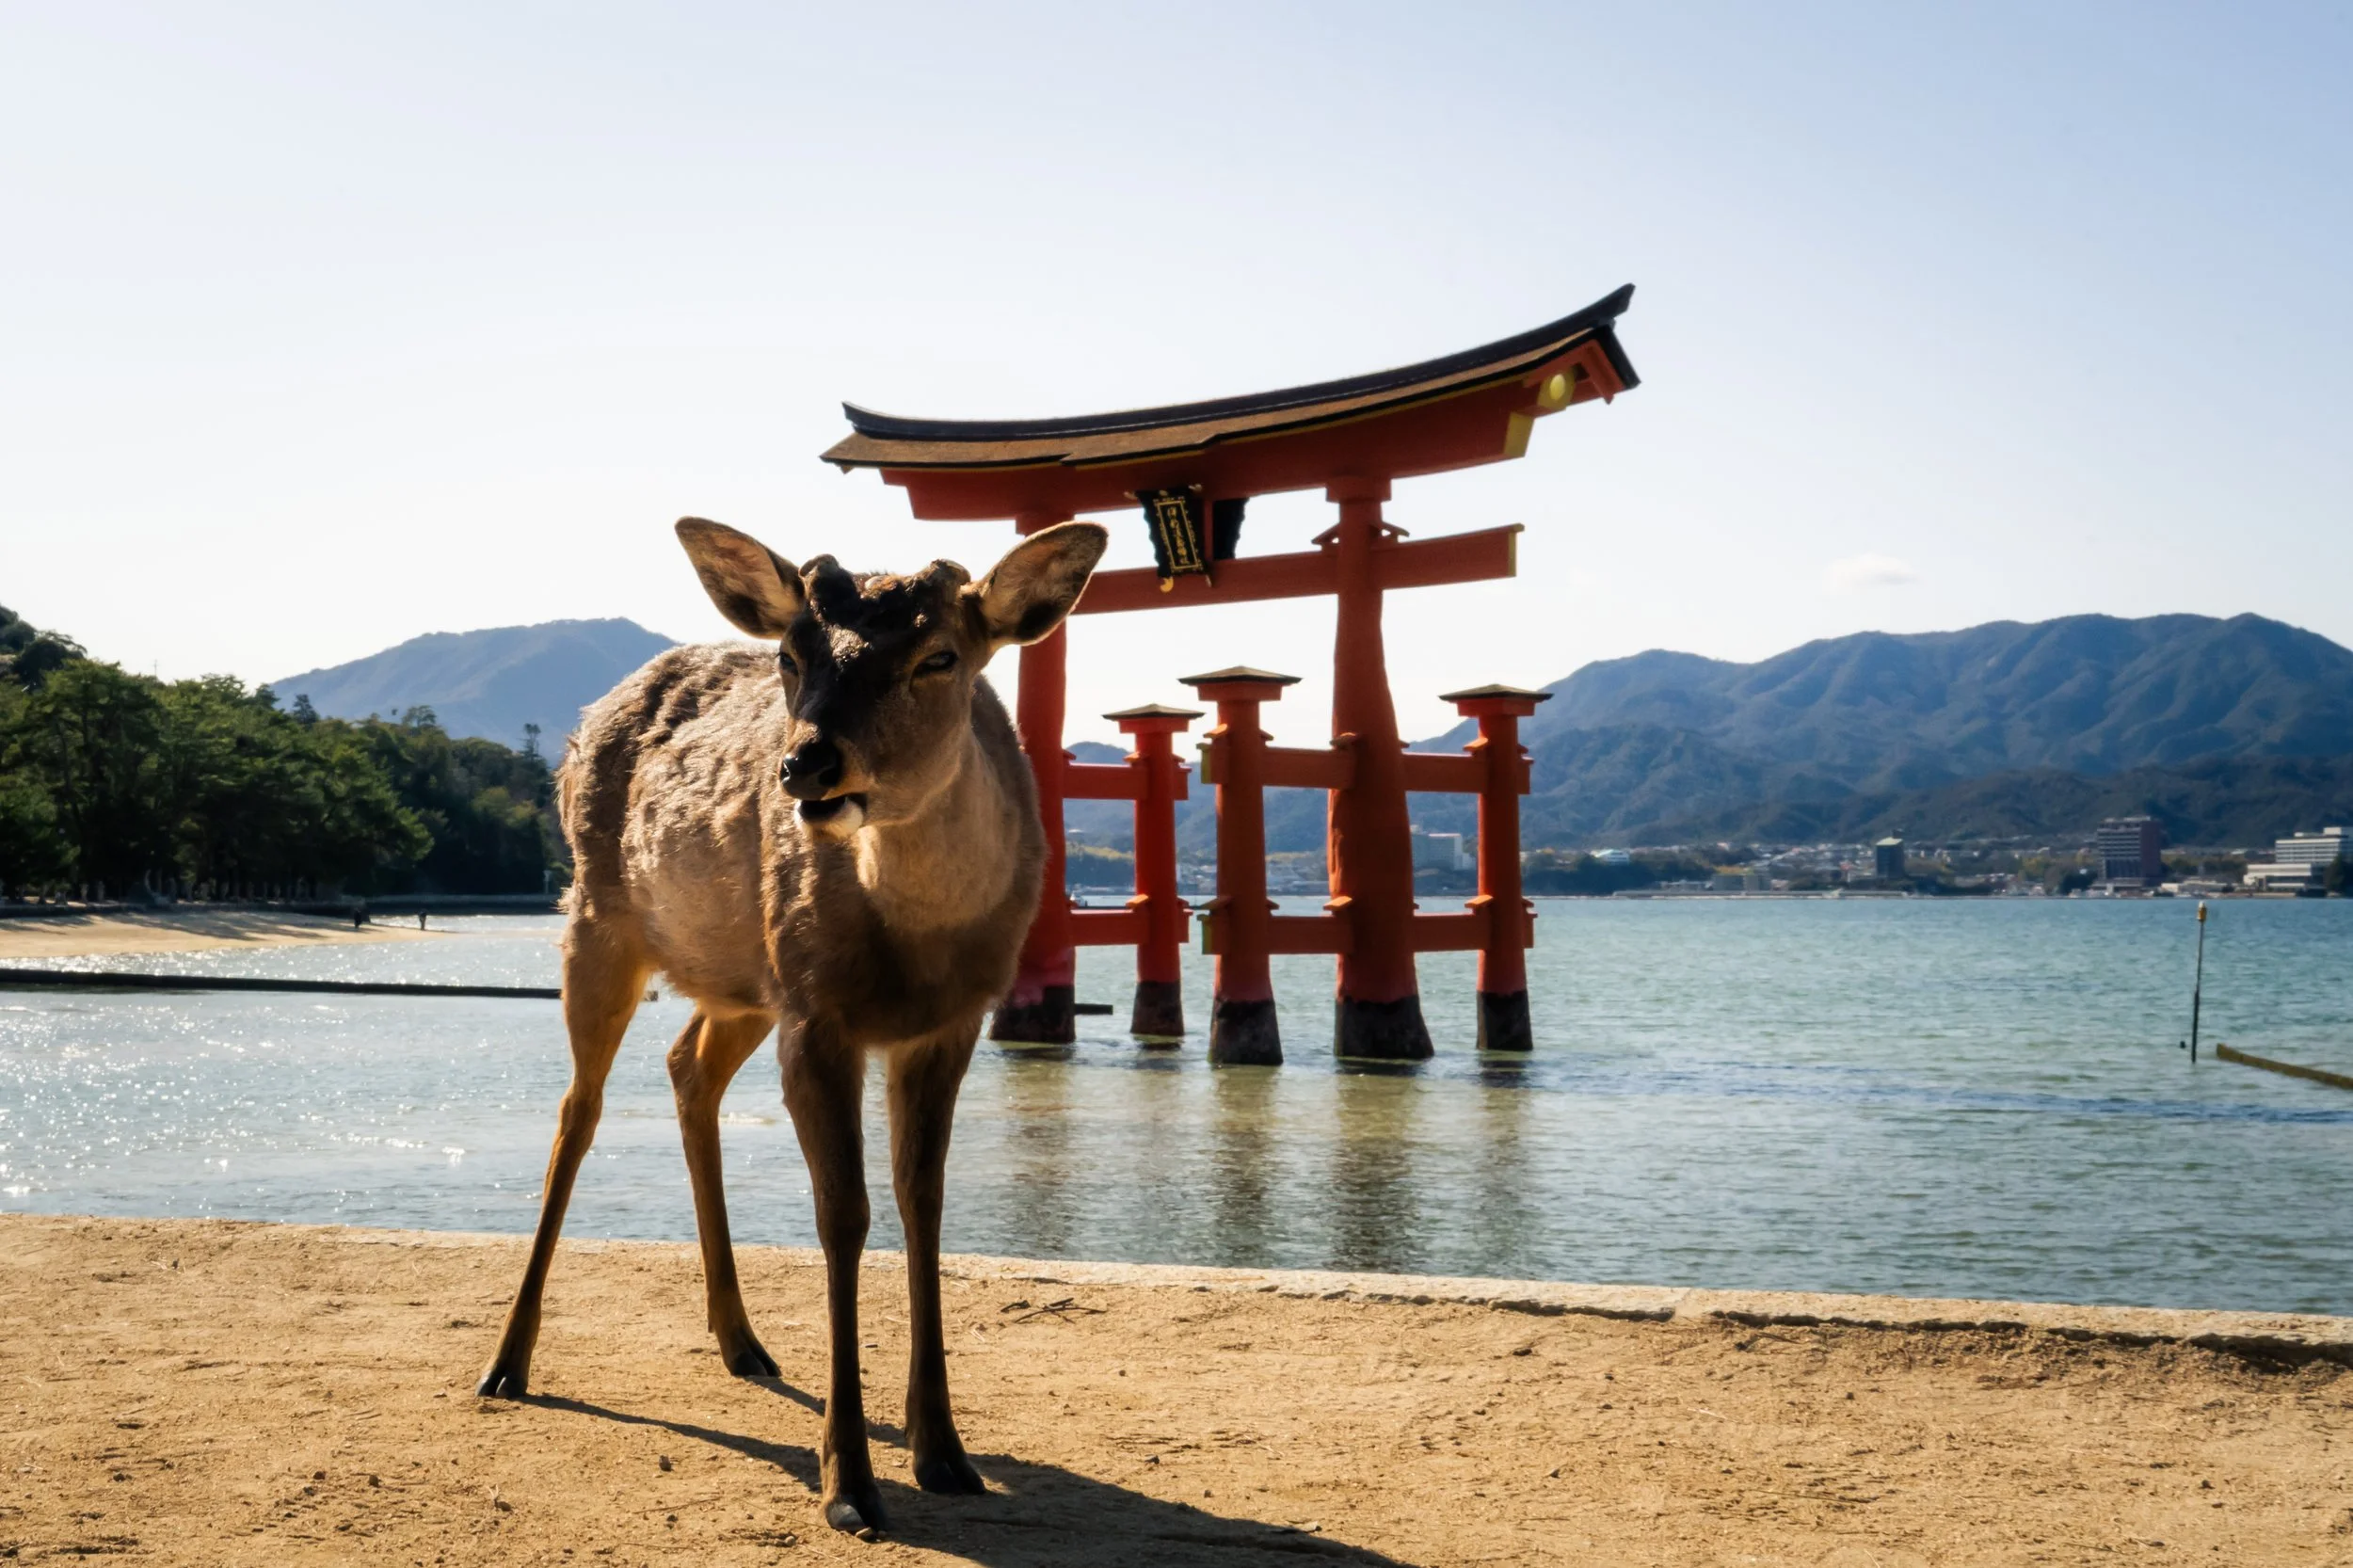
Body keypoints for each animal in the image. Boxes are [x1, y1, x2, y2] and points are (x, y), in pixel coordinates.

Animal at [475, 515, 1109, 1538]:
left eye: (941, 655)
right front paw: (848, 1481)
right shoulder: (818, 1017)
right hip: (599, 921)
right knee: (579, 1110)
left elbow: (924, 1203)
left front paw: (945, 1452)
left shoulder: (953, 1022)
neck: (918, 947)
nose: (807, 763)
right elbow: (842, 1214)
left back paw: (742, 1341)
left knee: (685, 1064)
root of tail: (585, 721)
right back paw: (507, 1362)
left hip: (742, 981)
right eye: (792, 652)